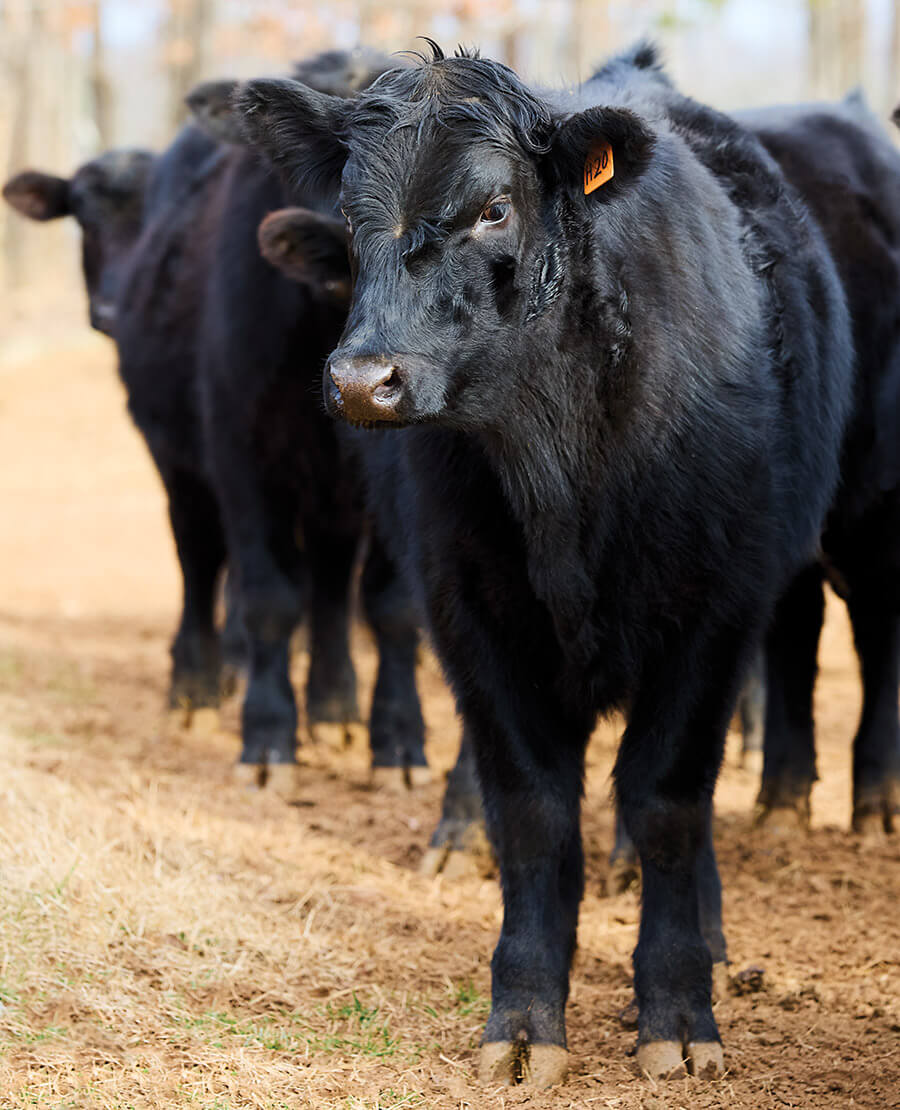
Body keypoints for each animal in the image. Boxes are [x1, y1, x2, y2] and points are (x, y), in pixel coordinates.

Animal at [235, 41, 858, 1084]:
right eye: (349, 212)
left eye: (495, 207)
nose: (363, 380)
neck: (557, 462)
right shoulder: (473, 617)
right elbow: (531, 812)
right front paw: (523, 1021)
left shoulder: (714, 617)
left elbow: (667, 804)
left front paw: (679, 1013)